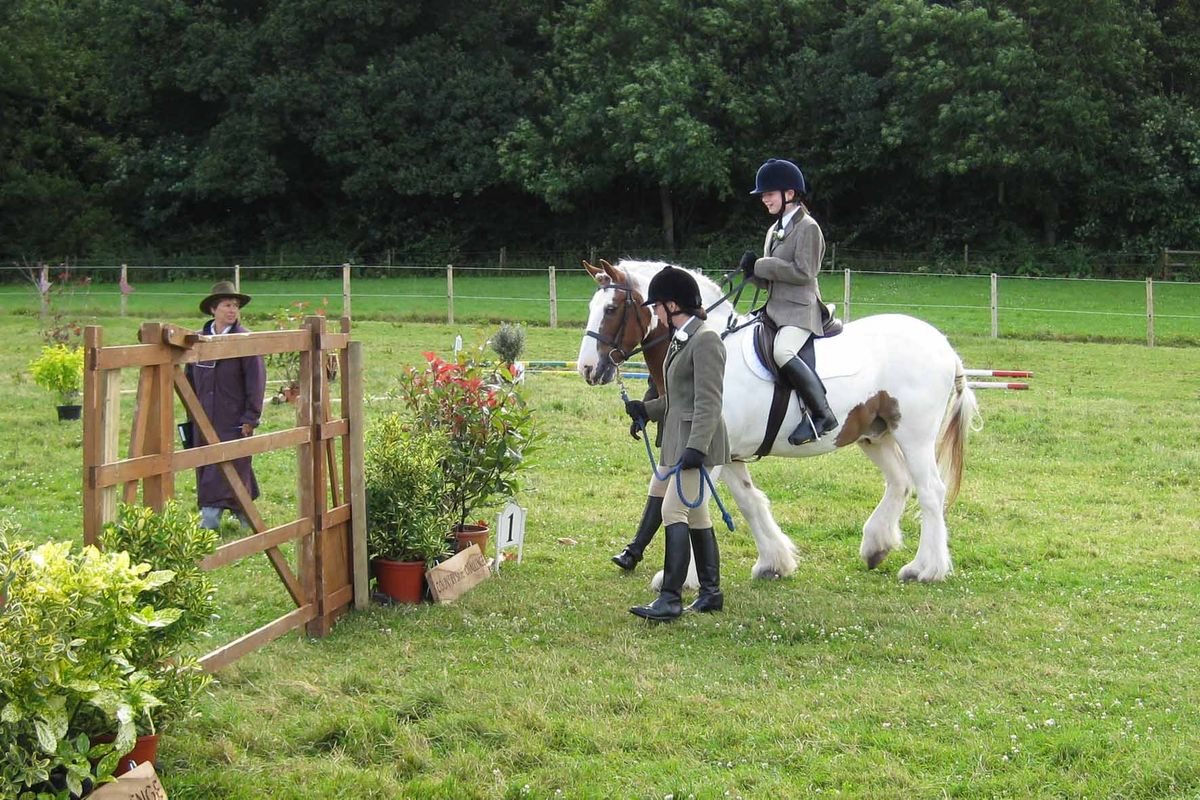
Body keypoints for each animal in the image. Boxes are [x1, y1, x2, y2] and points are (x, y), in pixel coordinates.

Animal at [580, 261, 984, 582]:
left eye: (612, 308)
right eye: (591, 307)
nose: (587, 368)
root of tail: (944, 346)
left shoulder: (704, 454)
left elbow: (693, 504)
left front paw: (683, 579)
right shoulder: (726, 455)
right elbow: (748, 502)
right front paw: (774, 562)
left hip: (913, 436)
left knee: (931, 491)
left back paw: (926, 568)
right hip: (874, 434)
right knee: (900, 482)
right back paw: (876, 546)